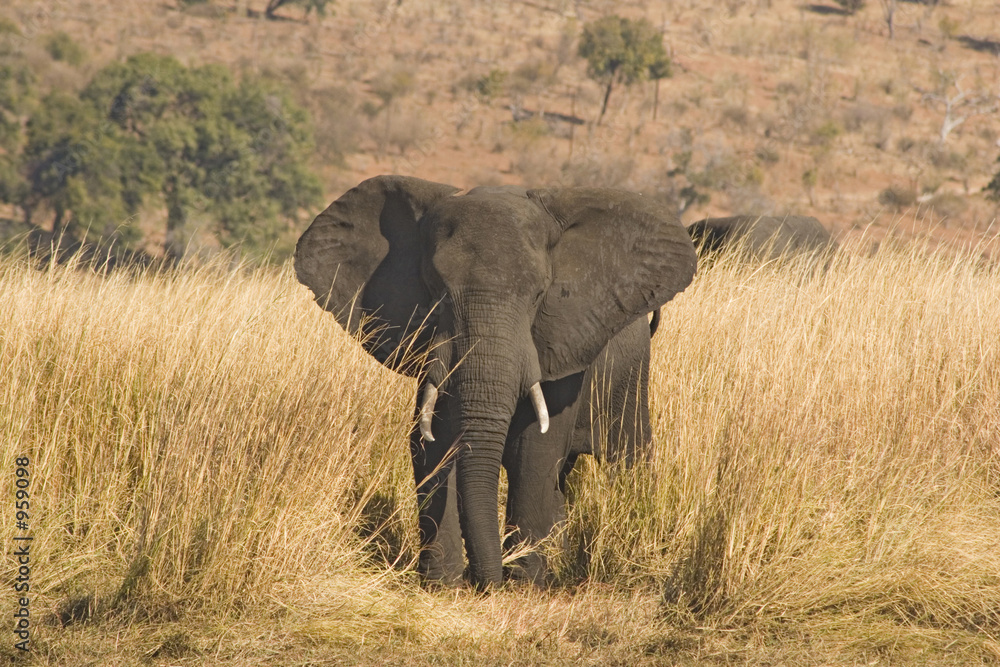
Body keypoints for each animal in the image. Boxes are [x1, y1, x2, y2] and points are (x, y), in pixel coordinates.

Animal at [294, 176, 697, 589]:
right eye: (437, 291)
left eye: (539, 295)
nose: (487, 582)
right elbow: (430, 445)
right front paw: (443, 585)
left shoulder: (560, 341)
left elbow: (534, 448)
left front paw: (527, 585)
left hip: (631, 376)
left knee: (628, 459)